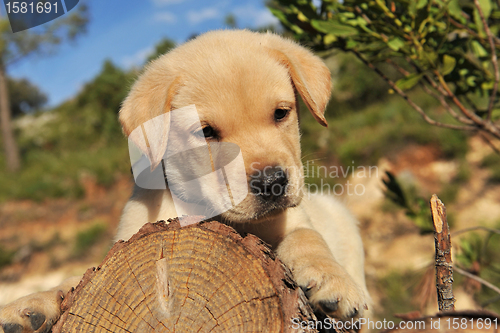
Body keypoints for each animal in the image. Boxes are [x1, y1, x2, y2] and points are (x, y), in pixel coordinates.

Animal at [0, 29, 368, 330]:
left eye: (281, 113)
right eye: (205, 132)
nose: (272, 182)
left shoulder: (294, 219)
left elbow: (307, 237)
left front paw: (332, 280)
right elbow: (75, 278)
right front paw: (30, 307)